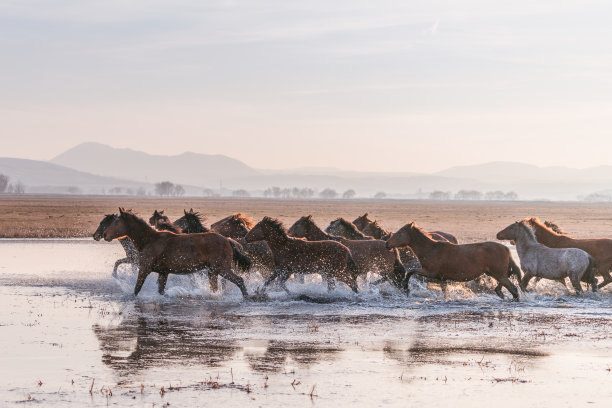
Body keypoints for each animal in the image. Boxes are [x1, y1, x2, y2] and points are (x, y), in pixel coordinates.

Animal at [100, 209, 249, 298]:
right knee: (216, 287)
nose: (105, 235)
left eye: (116, 222)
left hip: (222, 269)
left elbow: (137, 289)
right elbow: (160, 291)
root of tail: (228, 240)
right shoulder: (163, 273)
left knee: (239, 281)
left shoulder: (144, 269)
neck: (149, 240)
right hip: (212, 271)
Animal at [384, 223, 520, 300]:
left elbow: (410, 272)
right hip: (495, 274)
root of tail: (506, 248)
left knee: (514, 289)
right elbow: (445, 292)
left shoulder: (430, 272)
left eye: (400, 233)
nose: (387, 244)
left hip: (499, 274)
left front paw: (406, 288)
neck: (431, 249)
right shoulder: (442, 278)